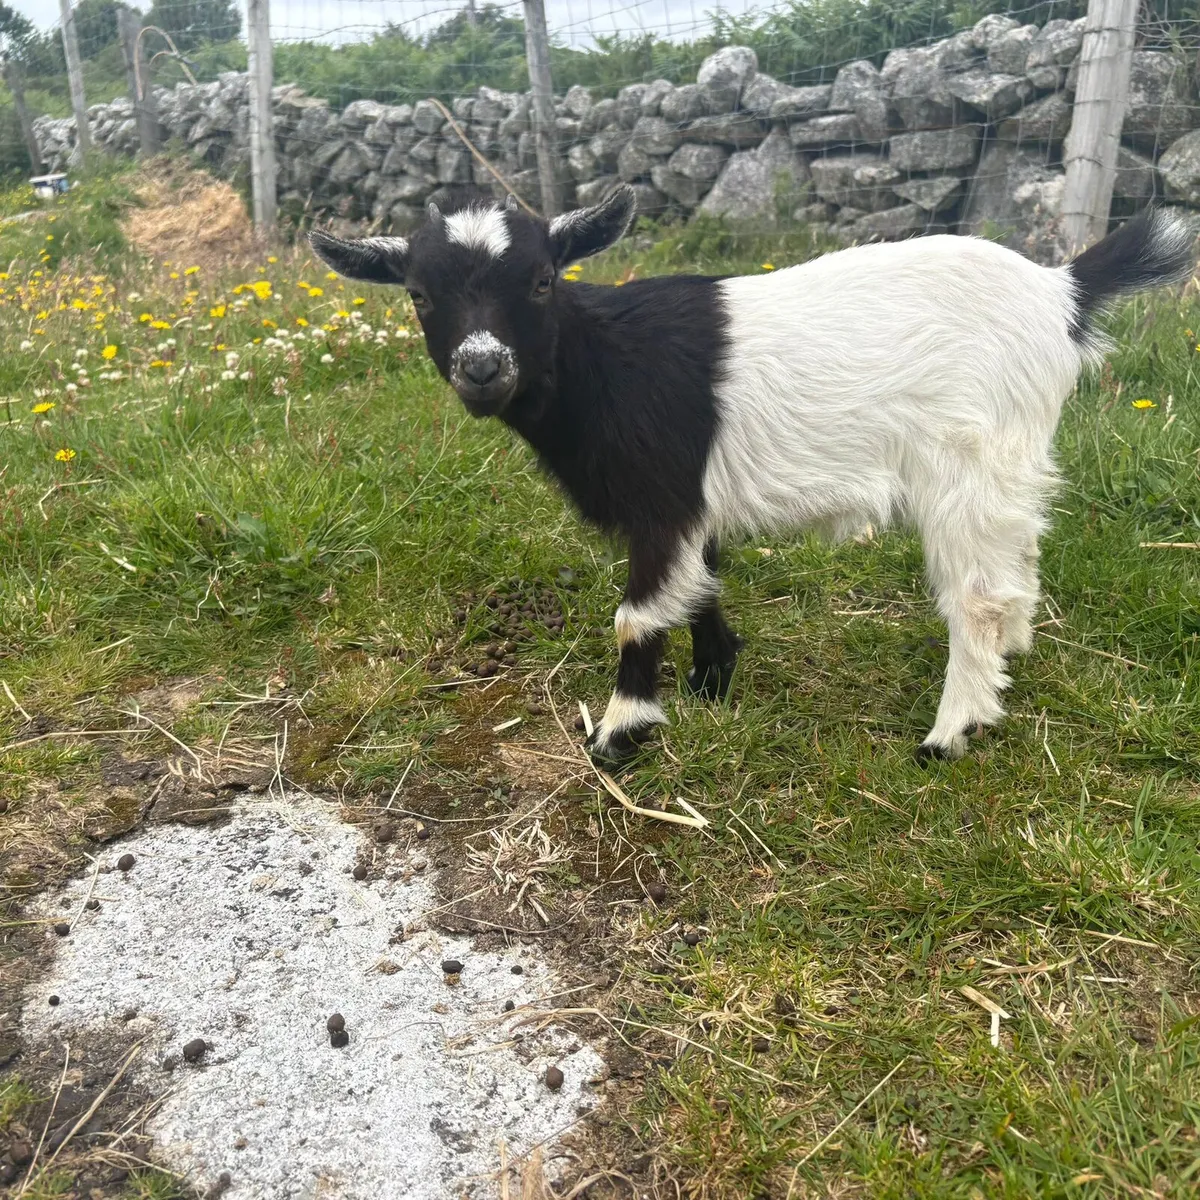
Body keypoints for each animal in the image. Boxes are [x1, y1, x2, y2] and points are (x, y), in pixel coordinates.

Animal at [310, 190, 1194, 764]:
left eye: (541, 280)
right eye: (418, 295)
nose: (483, 368)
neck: (604, 365)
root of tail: (1062, 291)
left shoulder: (662, 495)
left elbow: (637, 614)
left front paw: (621, 733)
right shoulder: (691, 507)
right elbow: (701, 582)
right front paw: (713, 677)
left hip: (964, 462)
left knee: (974, 594)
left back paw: (952, 732)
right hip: (1011, 460)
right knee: (1018, 560)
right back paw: (1012, 658)